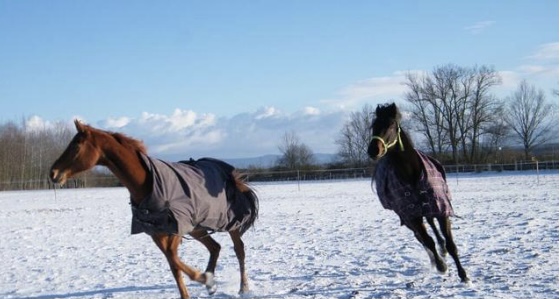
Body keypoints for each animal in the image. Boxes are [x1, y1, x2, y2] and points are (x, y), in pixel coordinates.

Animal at [49, 120, 260, 299]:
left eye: (76, 145)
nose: (53, 173)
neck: (148, 183)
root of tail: (234, 177)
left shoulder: (175, 228)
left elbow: (174, 259)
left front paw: (203, 278)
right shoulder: (156, 233)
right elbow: (173, 264)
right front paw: (203, 282)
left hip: (230, 223)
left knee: (239, 249)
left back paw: (243, 287)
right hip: (198, 227)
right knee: (215, 247)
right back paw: (211, 284)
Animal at [368, 103, 468, 284]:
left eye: (391, 125)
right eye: (374, 125)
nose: (373, 150)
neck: (411, 173)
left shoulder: (441, 207)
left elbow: (450, 244)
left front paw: (463, 275)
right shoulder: (411, 215)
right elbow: (427, 240)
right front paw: (441, 266)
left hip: (428, 208)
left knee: (432, 225)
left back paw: (441, 250)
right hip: (407, 217)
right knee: (420, 237)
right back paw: (435, 259)